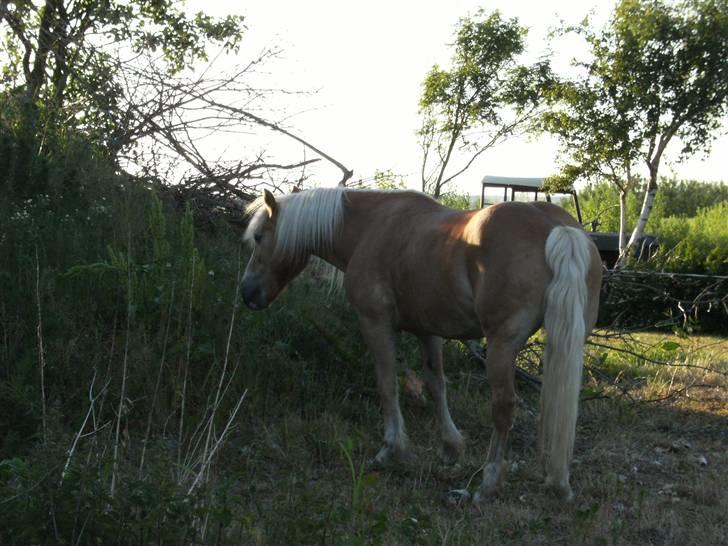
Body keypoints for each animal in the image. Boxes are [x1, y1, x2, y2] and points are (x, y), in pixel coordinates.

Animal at [242, 187, 600, 502]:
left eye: (259, 237)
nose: (247, 292)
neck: (370, 227)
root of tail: (556, 227)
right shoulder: (428, 330)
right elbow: (435, 385)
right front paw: (451, 447)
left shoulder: (376, 324)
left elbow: (387, 385)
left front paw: (391, 449)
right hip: (565, 344)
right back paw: (559, 481)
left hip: (501, 346)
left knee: (503, 408)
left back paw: (488, 484)